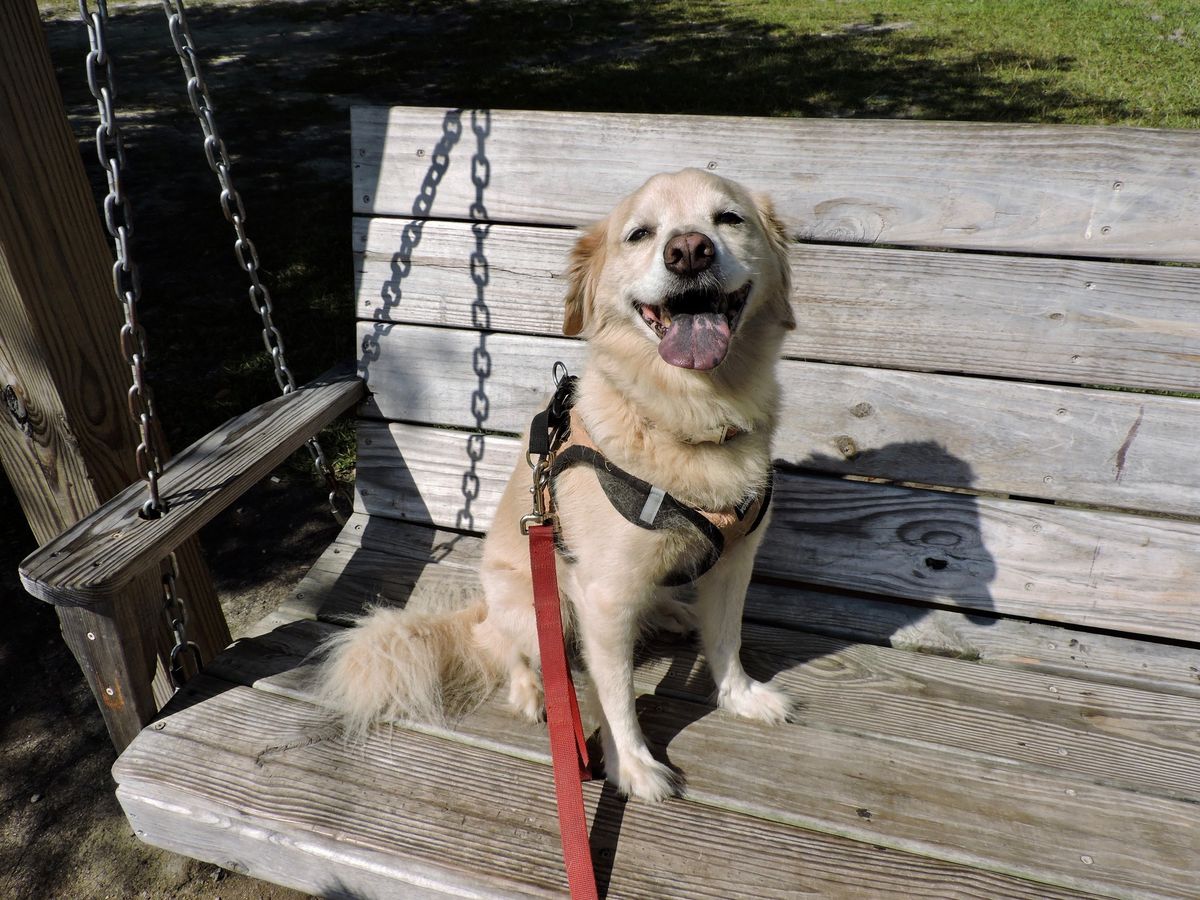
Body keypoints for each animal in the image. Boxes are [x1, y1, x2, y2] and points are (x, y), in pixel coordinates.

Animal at [321, 169, 796, 801]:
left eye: (729, 218)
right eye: (640, 234)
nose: (689, 251)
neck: (688, 417)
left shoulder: (735, 562)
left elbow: (726, 640)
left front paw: (740, 698)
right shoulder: (604, 597)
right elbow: (615, 695)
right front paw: (633, 766)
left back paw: (671, 613)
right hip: (533, 603)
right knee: (516, 653)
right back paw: (533, 692)